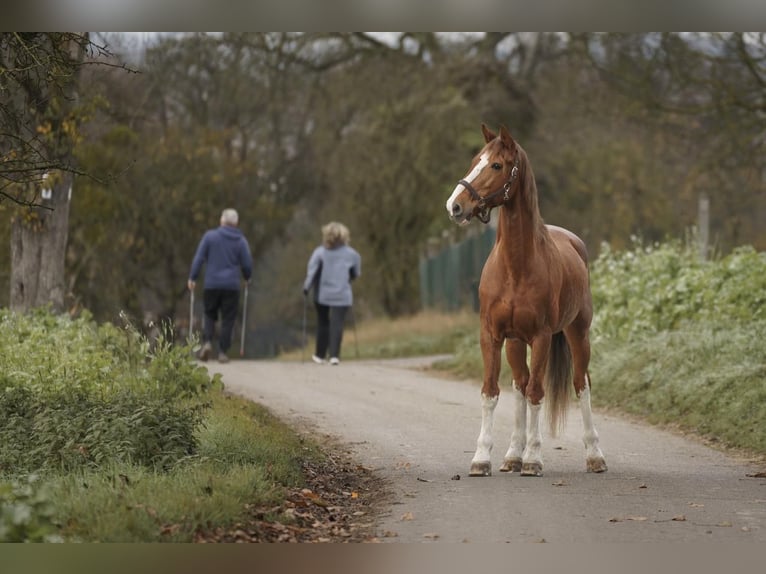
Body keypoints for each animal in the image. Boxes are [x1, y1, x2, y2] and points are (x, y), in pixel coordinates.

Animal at [445, 124, 607, 477]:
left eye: (496, 165)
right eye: (475, 161)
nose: (455, 206)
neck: (515, 267)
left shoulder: (542, 337)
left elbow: (537, 393)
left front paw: (534, 459)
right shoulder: (492, 336)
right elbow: (491, 392)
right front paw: (482, 459)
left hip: (578, 335)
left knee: (581, 384)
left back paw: (594, 456)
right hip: (516, 343)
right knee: (518, 385)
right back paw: (512, 456)